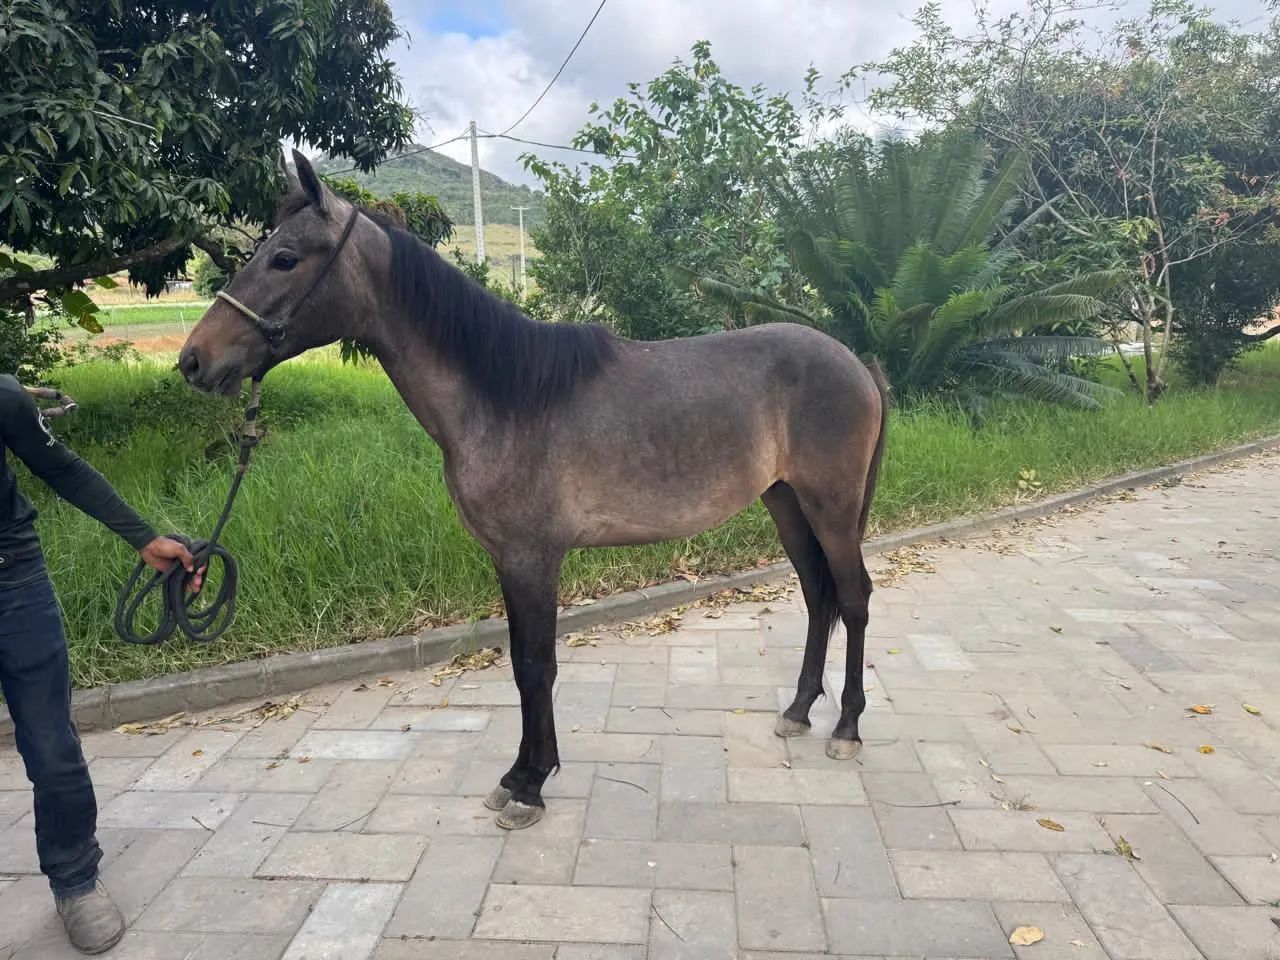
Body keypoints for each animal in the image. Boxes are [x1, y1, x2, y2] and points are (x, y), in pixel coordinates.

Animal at [179, 150, 888, 830]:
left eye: (285, 257)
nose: (193, 360)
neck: (508, 396)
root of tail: (855, 362)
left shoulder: (532, 559)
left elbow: (535, 665)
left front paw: (530, 787)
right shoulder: (507, 559)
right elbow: (521, 662)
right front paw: (520, 775)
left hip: (830, 506)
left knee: (852, 597)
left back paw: (848, 727)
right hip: (786, 502)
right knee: (817, 595)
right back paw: (798, 710)